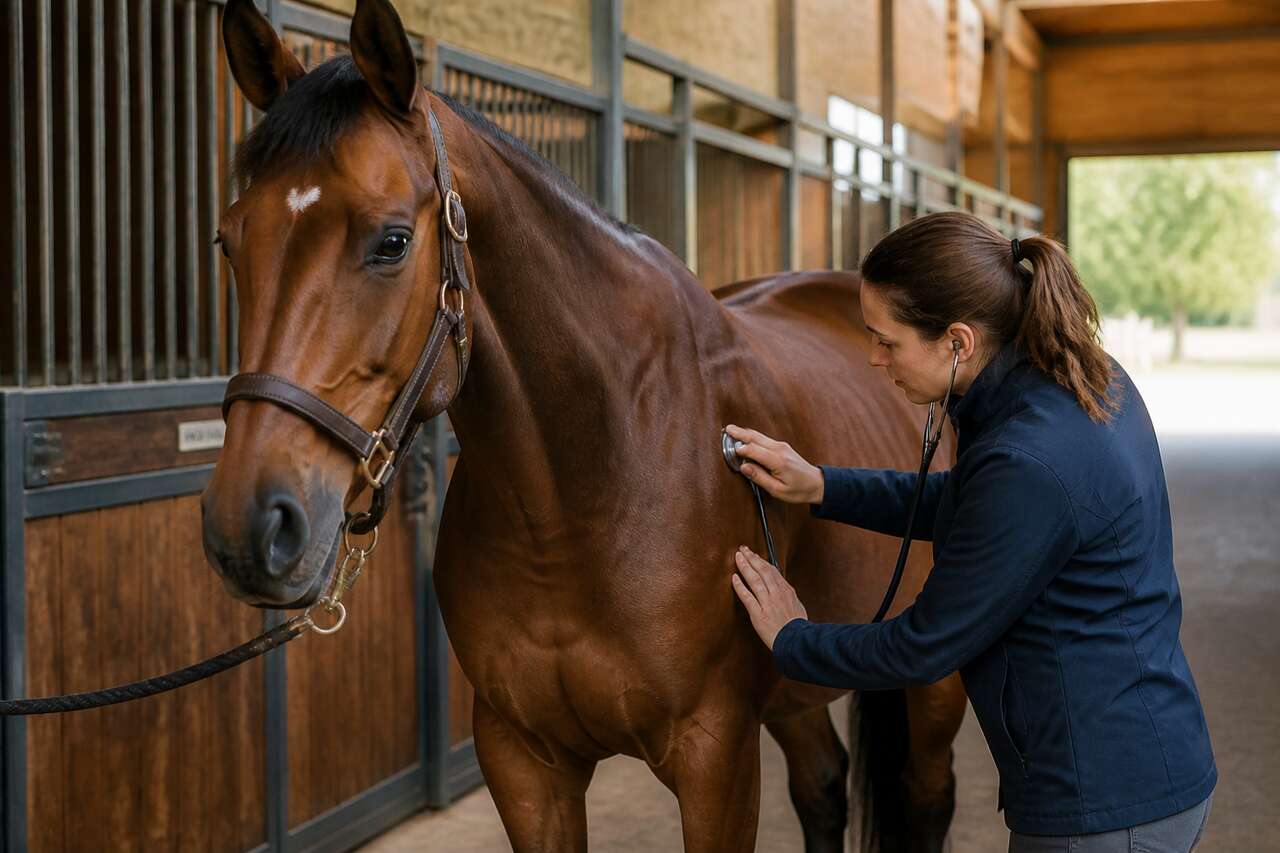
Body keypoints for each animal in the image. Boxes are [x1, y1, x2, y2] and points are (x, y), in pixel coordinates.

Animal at [200, 1, 967, 850]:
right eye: (228, 239)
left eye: (392, 241)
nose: (250, 526)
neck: (585, 489)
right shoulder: (523, 759)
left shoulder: (716, 756)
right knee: (824, 785)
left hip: (932, 676)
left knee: (927, 796)